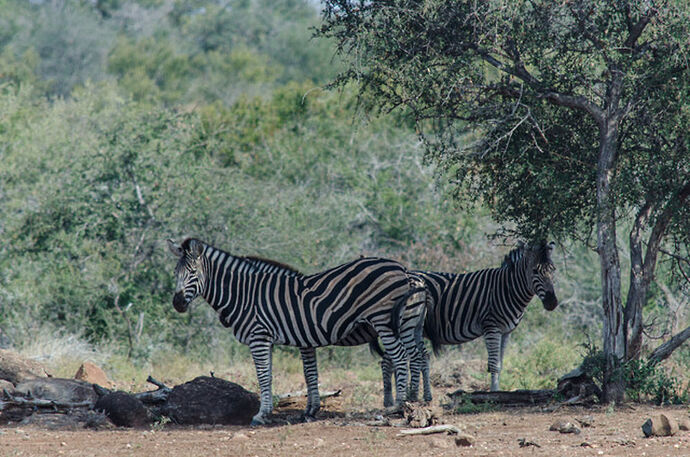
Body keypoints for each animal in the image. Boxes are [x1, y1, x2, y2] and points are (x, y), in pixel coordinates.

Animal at [167, 239, 424, 424]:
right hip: (406, 325)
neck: (245, 294)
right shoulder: (287, 339)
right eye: (175, 274)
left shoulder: (259, 337)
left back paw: (399, 406)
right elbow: (295, 374)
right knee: (414, 357)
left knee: (401, 357)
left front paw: (261, 415)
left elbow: (264, 375)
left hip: (384, 321)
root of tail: (402, 268)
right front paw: (294, 411)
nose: (177, 304)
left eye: (193, 273)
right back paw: (413, 402)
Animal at [376, 240, 560, 400]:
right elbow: (493, 364)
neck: (507, 289)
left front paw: (498, 390)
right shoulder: (491, 327)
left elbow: (500, 364)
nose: (552, 303)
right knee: (388, 359)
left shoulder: (506, 332)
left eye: (553, 270)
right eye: (535, 271)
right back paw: (391, 400)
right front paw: (494, 394)